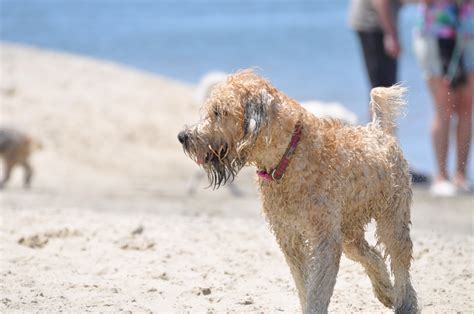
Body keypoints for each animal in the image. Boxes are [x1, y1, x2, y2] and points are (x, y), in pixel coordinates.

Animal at [178, 70, 418, 312]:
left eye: (219, 112)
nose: (183, 136)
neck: (288, 157)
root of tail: (378, 129)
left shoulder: (324, 241)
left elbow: (316, 291)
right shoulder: (289, 238)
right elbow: (304, 286)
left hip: (392, 218)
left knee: (400, 263)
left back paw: (404, 303)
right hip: (348, 233)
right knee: (372, 254)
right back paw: (386, 292)